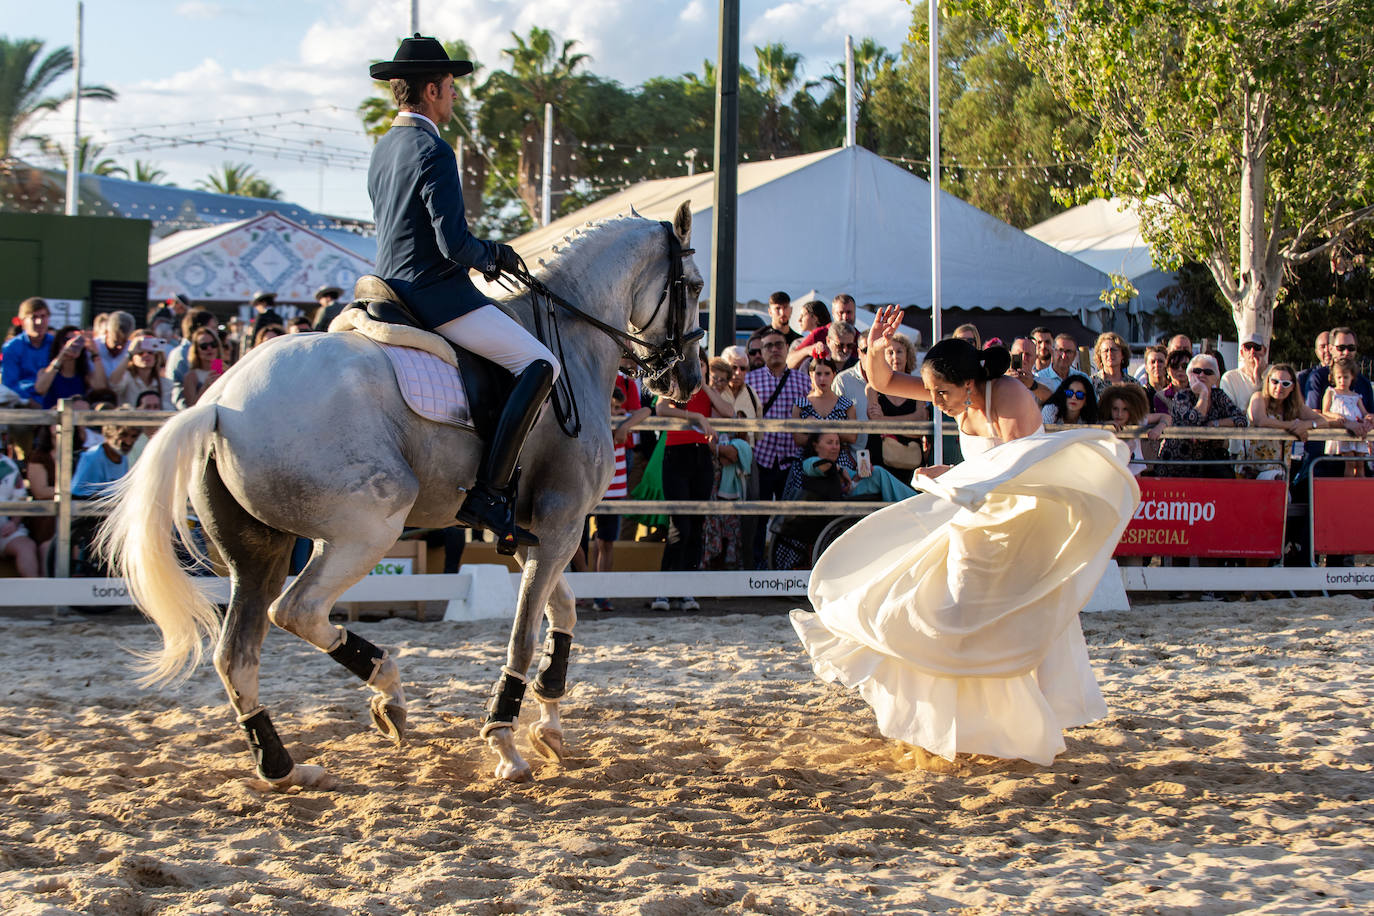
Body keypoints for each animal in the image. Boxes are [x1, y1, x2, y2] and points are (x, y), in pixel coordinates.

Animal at [96, 205, 703, 791]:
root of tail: (218, 404)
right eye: (695, 285)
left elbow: (563, 611)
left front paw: (548, 727)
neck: (569, 339)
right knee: (297, 610)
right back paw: (387, 688)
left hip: (258, 550)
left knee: (236, 657)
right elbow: (526, 636)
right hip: (369, 528)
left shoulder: (535, 530)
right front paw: (505, 742)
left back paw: (286, 768)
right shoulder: (562, 523)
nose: (688, 381)